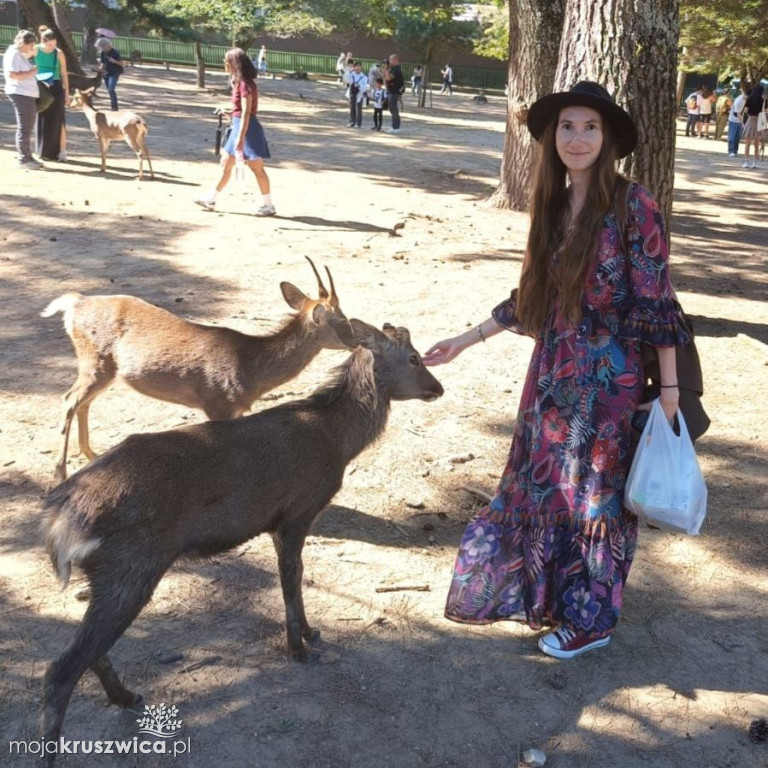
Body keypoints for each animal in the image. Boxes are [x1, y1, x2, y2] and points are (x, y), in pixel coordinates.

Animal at [39, 320, 444, 760]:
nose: (438, 388)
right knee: (61, 669)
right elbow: (291, 580)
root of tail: (59, 520)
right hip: (129, 568)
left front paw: (311, 633)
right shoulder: (296, 512)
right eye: (414, 357)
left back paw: (127, 696)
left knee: (89, 652)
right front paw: (299, 647)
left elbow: (296, 578)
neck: (338, 442)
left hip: (107, 574)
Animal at [42, 260, 354, 484]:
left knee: (83, 403)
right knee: (69, 400)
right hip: (94, 361)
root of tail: (74, 305)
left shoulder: (233, 408)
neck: (252, 370)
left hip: (103, 368)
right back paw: (59, 474)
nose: (356, 341)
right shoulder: (217, 401)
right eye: (342, 319)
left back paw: (92, 455)